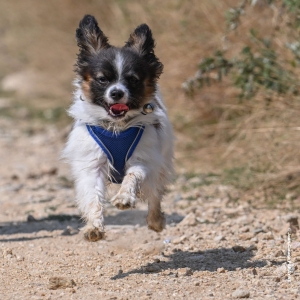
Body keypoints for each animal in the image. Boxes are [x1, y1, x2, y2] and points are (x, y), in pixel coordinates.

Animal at [63, 15, 176, 241]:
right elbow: (93, 197)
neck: (116, 127)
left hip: (161, 163)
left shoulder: (144, 158)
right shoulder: (92, 164)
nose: (116, 93)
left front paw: (124, 198)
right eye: (102, 79)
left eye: (132, 80)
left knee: (155, 193)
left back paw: (156, 220)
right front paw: (94, 227)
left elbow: (133, 177)